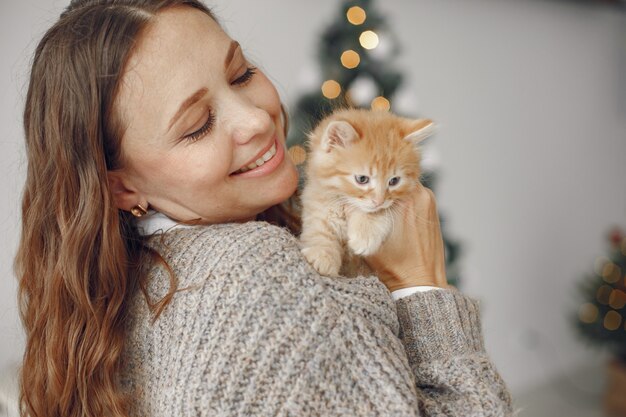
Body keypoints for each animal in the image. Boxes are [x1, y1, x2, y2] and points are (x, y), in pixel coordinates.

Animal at [298, 107, 434, 276]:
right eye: (362, 179)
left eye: (394, 181)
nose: (379, 201)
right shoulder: (316, 204)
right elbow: (319, 230)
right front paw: (322, 255)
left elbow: (376, 212)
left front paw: (364, 234)